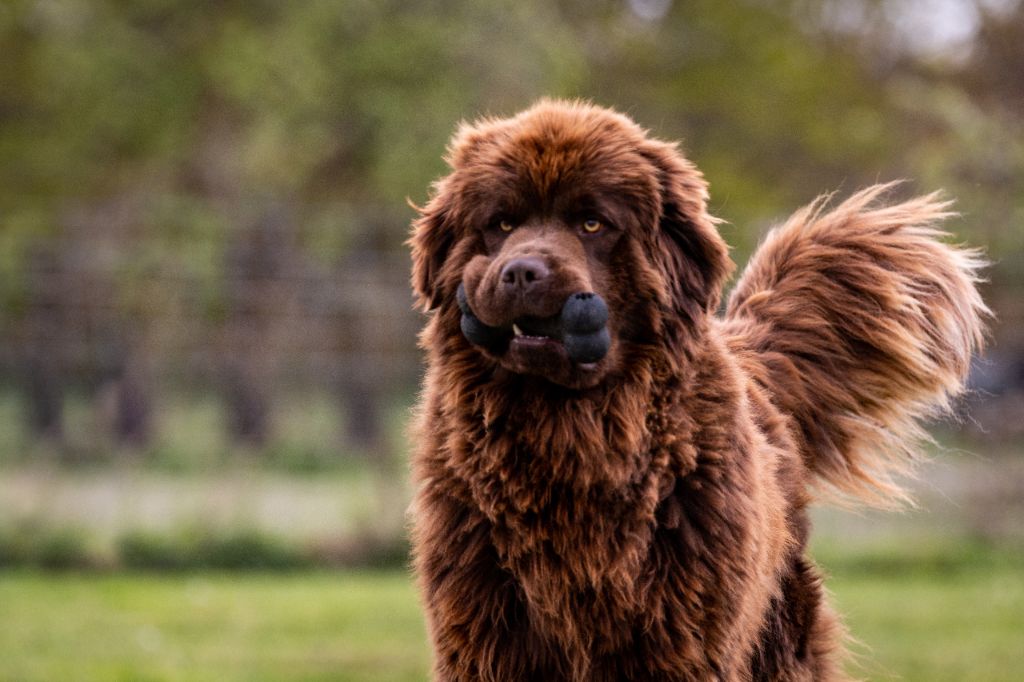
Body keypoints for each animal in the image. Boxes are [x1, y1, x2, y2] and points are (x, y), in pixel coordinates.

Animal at [403, 100, 987, 679]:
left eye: (592, 223)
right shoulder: (488, 630)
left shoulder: (684, 633)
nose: (521, 272)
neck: (572, 431)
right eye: (501, 223)